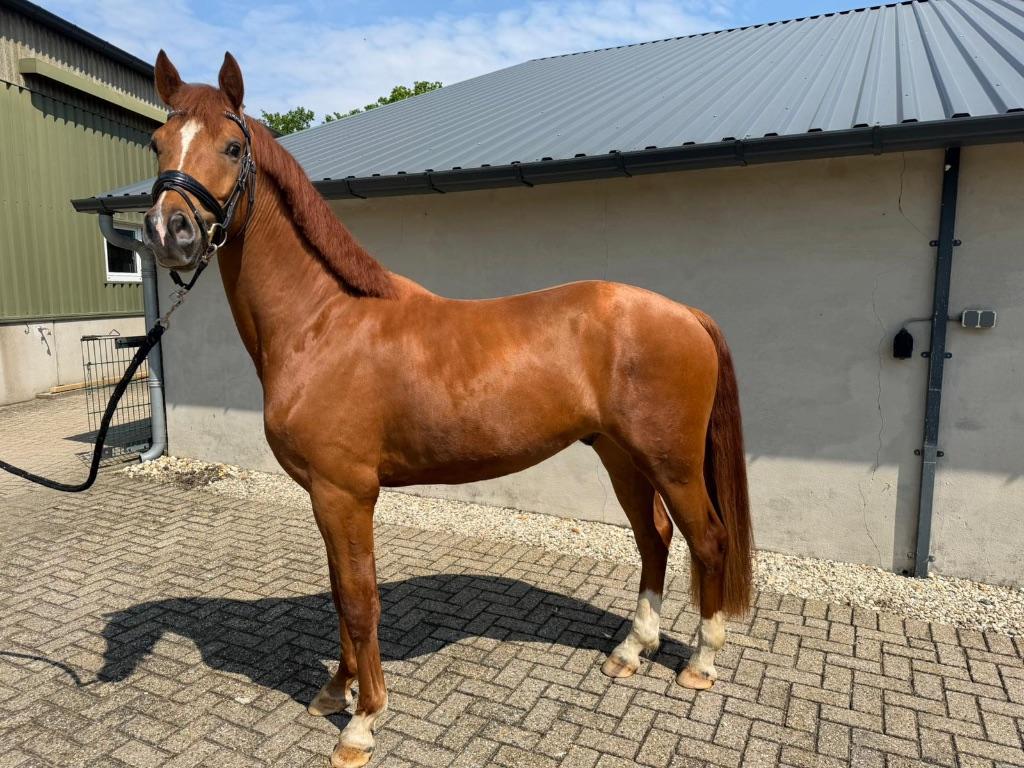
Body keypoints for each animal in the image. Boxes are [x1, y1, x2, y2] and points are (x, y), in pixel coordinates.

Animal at [142, 51, 753, 768]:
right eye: (157, 142)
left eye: (232, 147)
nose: (169, 232)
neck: (322, 322)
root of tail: (685, 312)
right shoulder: (323, 494)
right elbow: (339, 593)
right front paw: (335, 690)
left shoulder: (346, 492)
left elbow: (359, 600)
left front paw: (361, 721)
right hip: (621, 456)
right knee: (653, 537)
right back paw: (632, 650)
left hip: (672, 461)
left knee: (707, 540)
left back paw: (701, 664)